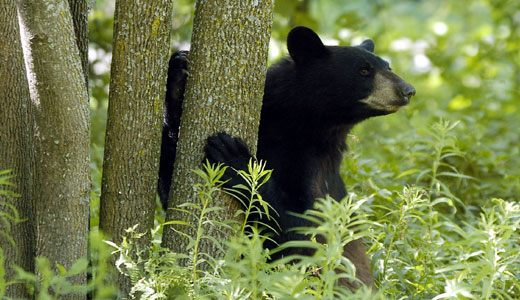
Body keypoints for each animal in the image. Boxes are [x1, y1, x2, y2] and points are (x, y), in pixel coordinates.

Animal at [157, 27, 414, 290]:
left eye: (387, 66)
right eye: (364, 70)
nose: (408, 90)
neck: (293, 124)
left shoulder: (314, 165)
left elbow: (305, 232)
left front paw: (236, 160)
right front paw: (177, 75)